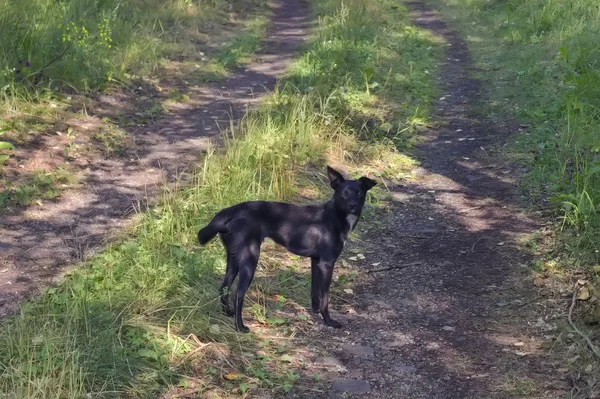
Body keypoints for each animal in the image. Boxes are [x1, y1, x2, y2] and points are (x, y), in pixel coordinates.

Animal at [197, 167, 376, 332]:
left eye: (359, 193)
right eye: (344, 194)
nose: (353, 205)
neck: (334, 217)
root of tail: (232, 210)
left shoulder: (316, 261)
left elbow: (314, 292)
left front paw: (315, 311)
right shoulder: (327, 263)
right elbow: (325, 297)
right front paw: (328, 321)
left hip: (234, 258)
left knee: (224, 287)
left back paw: (228, 312)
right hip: (250, 257)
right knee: (238, 293)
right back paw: (240, 326)